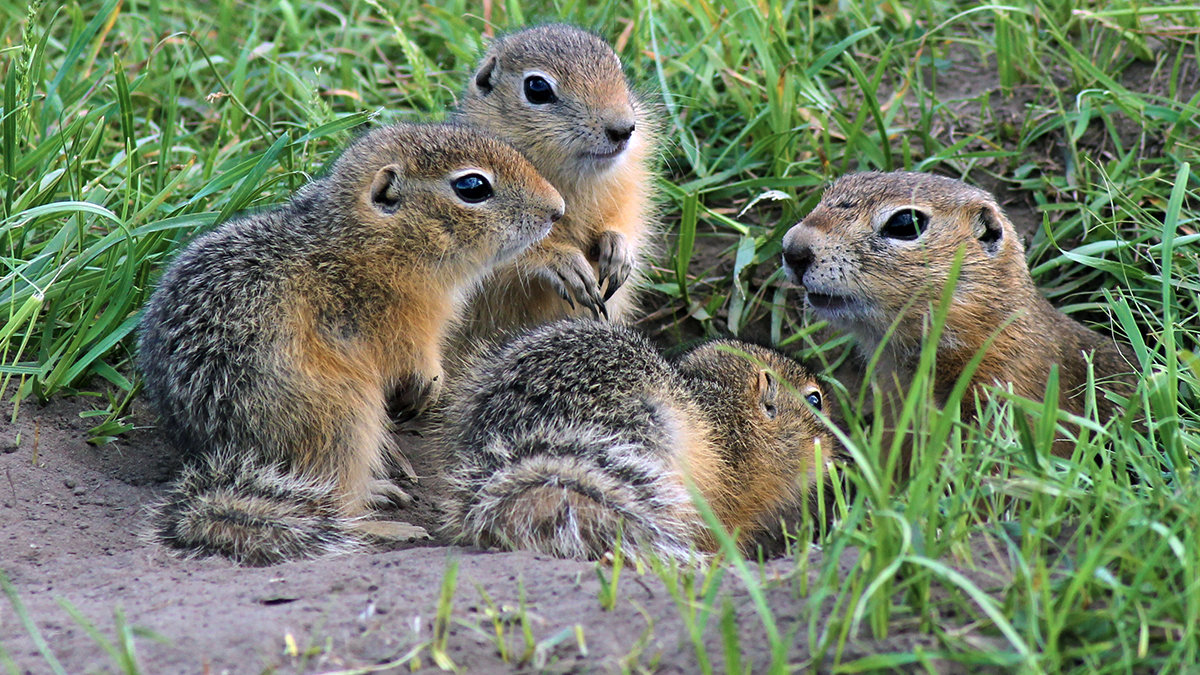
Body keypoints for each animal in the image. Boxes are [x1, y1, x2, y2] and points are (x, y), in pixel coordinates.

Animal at [136, 121, 566, 562]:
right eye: (473, 186)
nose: (558, 209)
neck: (367, 243)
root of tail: (225, 457)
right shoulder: (397, 327)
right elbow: (413, 358)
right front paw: (431, 383)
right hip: (345, 419)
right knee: (334, 503)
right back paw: (387, 524)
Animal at [451, 23, 662, 333]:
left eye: (618, 68)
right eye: (537, 88)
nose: (624, 129)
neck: (575, 182)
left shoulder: (627, 191)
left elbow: (627, 222)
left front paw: (618, 248)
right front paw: (564, 263)